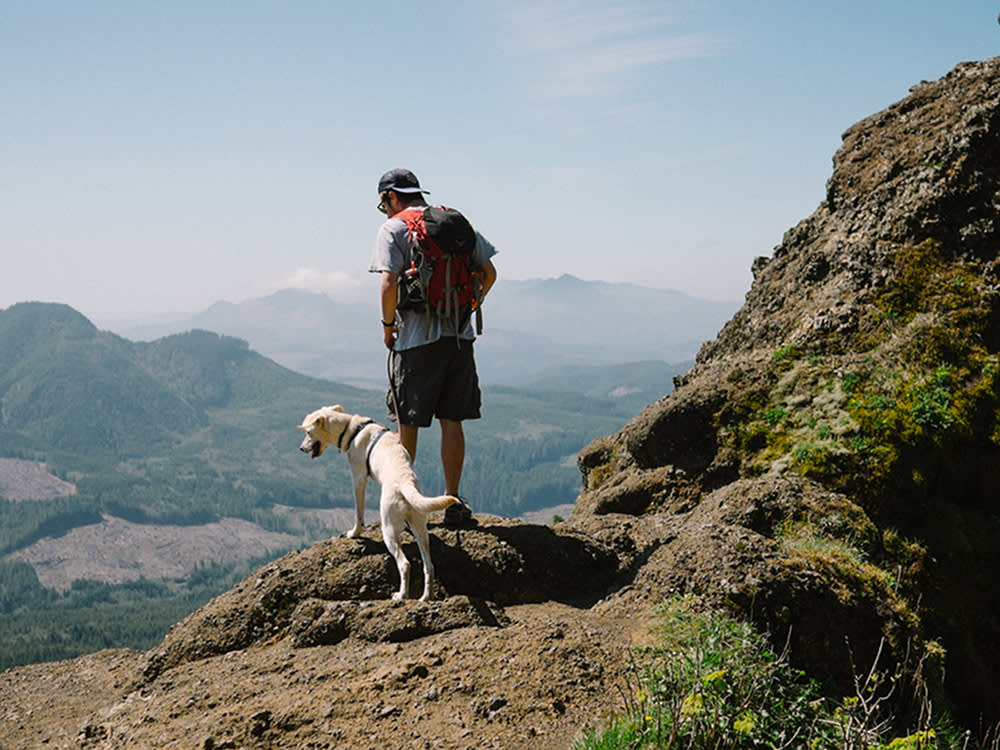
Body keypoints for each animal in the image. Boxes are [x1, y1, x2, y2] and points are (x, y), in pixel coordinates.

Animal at [292, 406, 458, 604]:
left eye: (308, 432)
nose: (301, 448)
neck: (351, 429)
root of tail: (406, 482)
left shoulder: (358, 479)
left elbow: (359, 513)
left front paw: (354, 533)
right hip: (420, 529)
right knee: (429, 565)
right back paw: (426, 596)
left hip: (388, 530)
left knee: (404, 564)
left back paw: (401, 595)